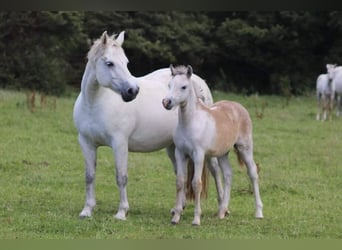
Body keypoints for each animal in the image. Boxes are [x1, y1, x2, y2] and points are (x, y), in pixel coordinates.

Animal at [73, 31, 222, 221]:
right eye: (109, 63)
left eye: (126, 62)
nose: (132, 91)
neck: (94, 103)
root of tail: (198, 81)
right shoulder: (86, 143)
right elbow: (89, 176)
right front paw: (87, 210)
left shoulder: (119, 143)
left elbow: (121, 177)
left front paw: (121, 212)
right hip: (173, 147)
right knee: (180, 174)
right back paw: (178, 208)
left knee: (215, 171)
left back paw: (222, 209)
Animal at [162, 65, 264, 226]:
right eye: (169, 85)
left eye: (184, 87)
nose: (167, 102)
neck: (190, 122)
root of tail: (238, 106)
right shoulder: (180, 153)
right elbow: (180, 182)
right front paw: (176, 217)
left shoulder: (198, 155)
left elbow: (196, 183)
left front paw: (196, 219)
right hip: (223, 153)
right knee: (228, 174)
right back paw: (222, 212)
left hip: (245, 147)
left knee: (253, 173)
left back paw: (258, 212)